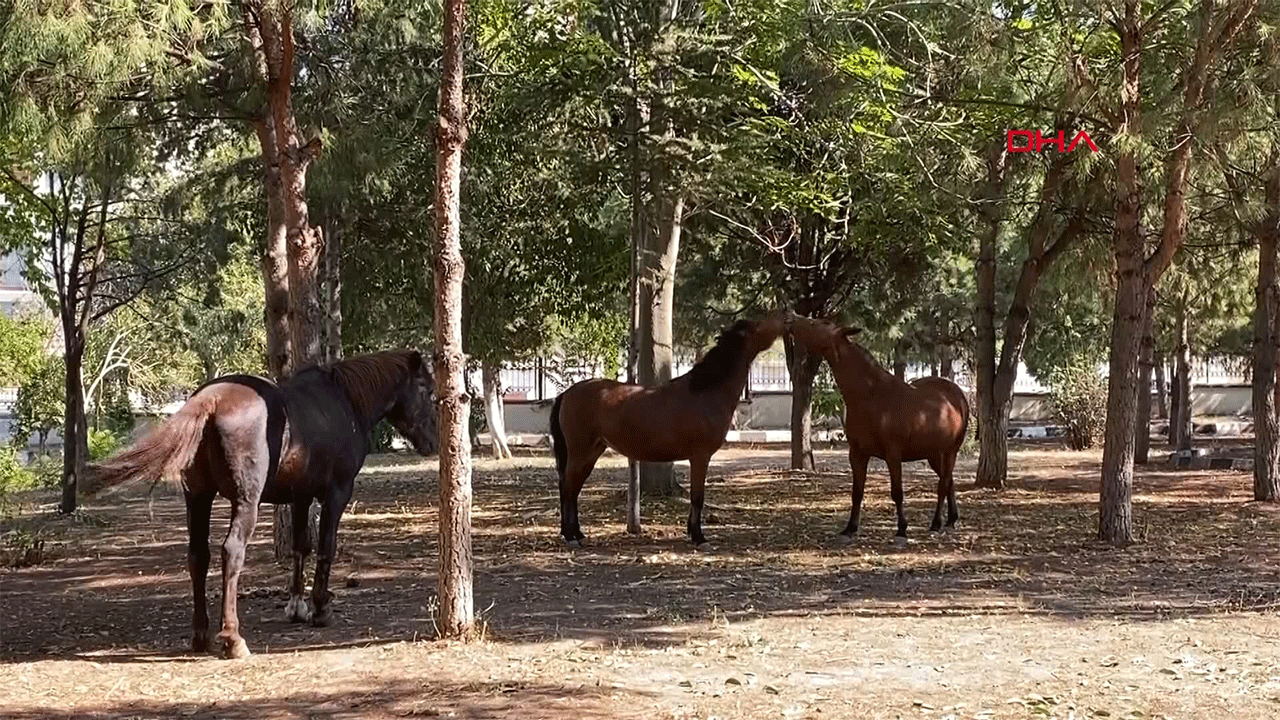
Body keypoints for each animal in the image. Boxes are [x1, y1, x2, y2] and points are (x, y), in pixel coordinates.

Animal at [83, 348, 440, 655]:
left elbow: (301, 546)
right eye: (426, 389)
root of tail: (210, 399)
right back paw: (232, 638)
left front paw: (296, 606)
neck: (345, 402)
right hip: (246, 502)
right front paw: (320, 608)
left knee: (198, 556)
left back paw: (201, 634)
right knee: (231, 552)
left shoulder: (300, 497)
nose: (433, 442)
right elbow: (326, 546)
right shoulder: (337, 492)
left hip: (197, 498)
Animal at [550, 304, 788, 545]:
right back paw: (570, 535)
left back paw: (576, 533)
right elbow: (697, 497)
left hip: (592, 451)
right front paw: (698, 536)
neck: (706, 392)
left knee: (573, 488)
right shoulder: (700, 456)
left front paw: (692, 532)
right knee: (568, 488)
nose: (784, 314)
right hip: (580, 451)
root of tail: (566, 394)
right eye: (758, 324)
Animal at [788, 313, 967, 538]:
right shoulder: (857, 454)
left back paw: (936, 522)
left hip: (951, 450)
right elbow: (857, 492)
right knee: (949, 480)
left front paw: (902, 528)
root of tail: (958, 394)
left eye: (816, 324)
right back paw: (951, 519)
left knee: (943, 483)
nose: (792, 319)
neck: (871, 395)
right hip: (933, 453)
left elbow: (897, 492)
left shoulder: (893, 454)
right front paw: (850, 527)